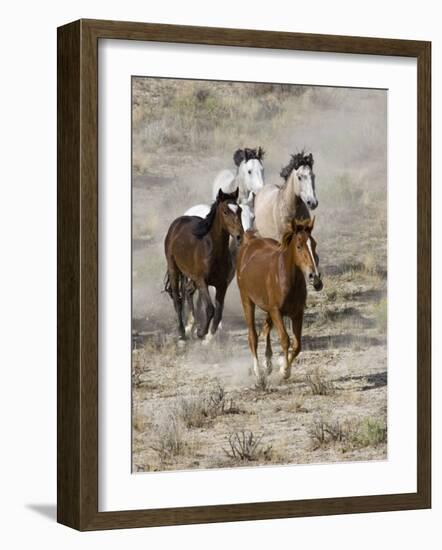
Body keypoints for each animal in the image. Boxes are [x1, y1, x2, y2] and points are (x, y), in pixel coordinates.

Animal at [164, 191, 243, 344]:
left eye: (240, 210)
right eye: (225, 211)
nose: (239, 236)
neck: (213, 251)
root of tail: (177, 222)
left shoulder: (222, 284)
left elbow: (219, 311)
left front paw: (208, 338)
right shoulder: (202, 281)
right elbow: (210, 308)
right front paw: (201, 333)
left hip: (191, 277)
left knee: (188, 291)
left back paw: (191, 327)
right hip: (174, 269)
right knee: (178, 300)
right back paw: (182, 335)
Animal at [237, 218, 322, 382]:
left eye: (314, 244)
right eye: (299, 246)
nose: (314, 278)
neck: (286, 278)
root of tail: (250, 242)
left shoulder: (297, 313)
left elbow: (297, 344)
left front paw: (282, 366)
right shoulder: (276, 311)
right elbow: (285, 339)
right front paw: (285, 371)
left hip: (267, 308)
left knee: (265, 329)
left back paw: (268, 363)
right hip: (247, 301)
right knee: (253, 336)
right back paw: (258, 372)